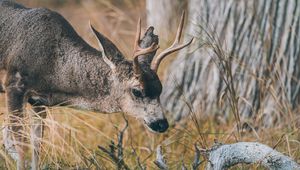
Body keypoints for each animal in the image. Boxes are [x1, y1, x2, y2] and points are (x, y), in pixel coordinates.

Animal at [0, 0, 192, 169]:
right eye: (137, 91)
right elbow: (17, 141)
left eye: (160, 89)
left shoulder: (38, 100)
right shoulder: (14, 84)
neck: (54, 67)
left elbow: (37, 145)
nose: (162, 123)